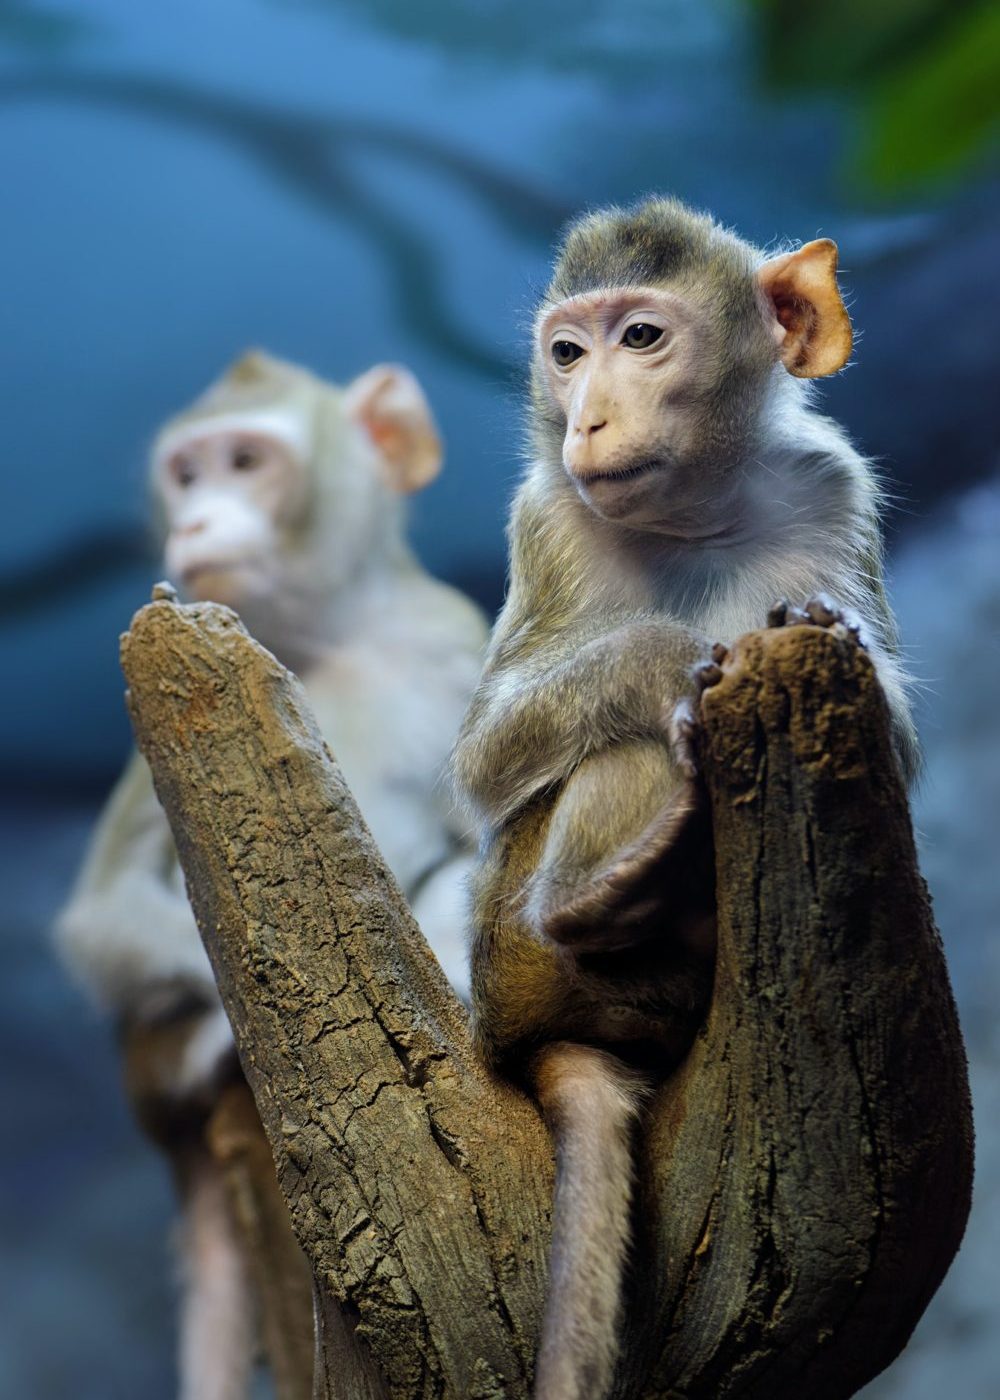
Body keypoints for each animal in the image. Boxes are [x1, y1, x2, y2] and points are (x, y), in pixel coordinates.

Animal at [57, 347, 487, 1400]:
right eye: (186, 473)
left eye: (246, 461)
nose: (195, 520)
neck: (326, 637)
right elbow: (101, 917)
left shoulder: (448, 638)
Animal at [450, 197, 918, 1400]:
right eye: (567, 354)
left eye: (641, 339)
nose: (587, 420)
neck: (695, 517)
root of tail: (519, 1031)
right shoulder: (544, 519)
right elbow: (484, 758)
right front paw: (681, 654)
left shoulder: (834, 485)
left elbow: (892, 743)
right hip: (510, 941)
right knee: (630, 747)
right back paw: (611, 879)